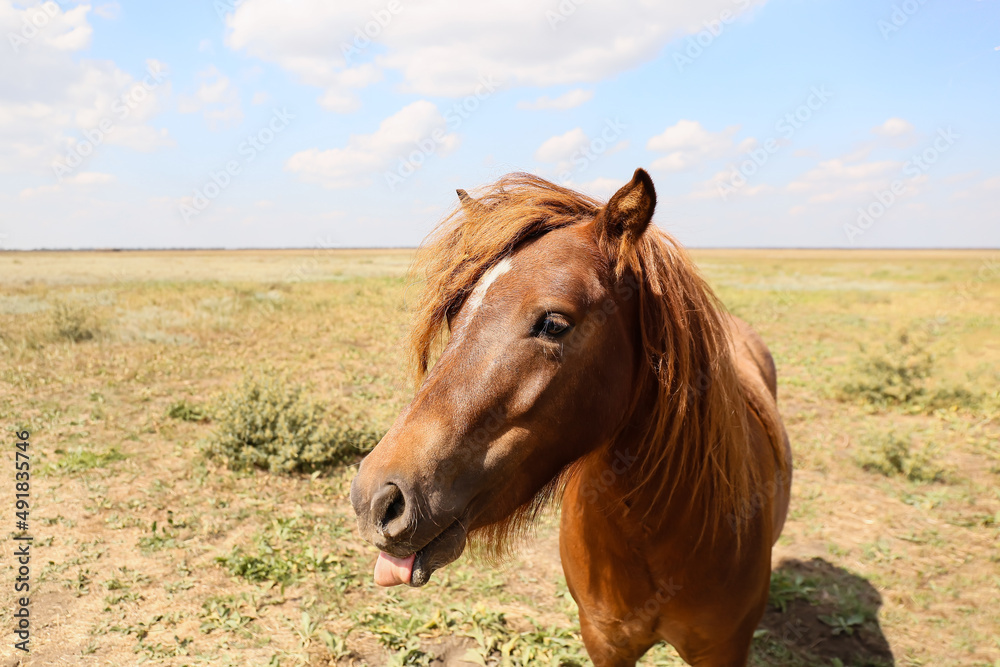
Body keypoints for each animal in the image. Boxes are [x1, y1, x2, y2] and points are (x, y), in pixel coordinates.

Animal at [356, 170, 792, 664]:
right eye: (454, 312)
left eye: (553, 324)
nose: (375, 499)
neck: (658, 534)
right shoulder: (604, 642)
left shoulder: (722, 650)